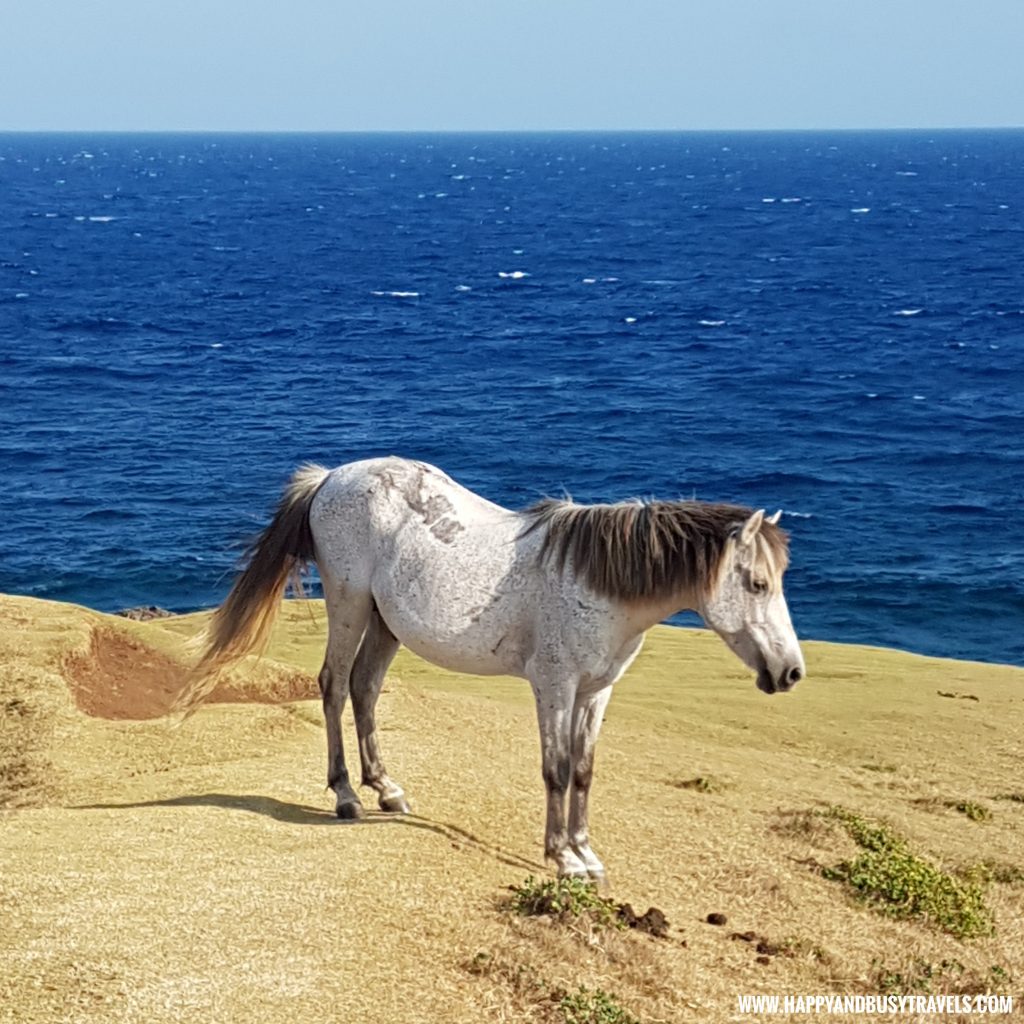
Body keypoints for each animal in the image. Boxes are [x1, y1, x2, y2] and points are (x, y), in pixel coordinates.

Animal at [174, 456, 798, 880]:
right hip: (348, 606)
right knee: (332, 686)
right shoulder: (554, 687)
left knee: (365, 688)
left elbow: (585, 771)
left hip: (384, 622)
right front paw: (561, 857)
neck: (596, 582)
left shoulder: (596, 693)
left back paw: (387, 790)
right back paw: (346, 795)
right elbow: (556, 769)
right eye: (758, 584)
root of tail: (330, 478)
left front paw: (586, 851)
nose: (790, 673)